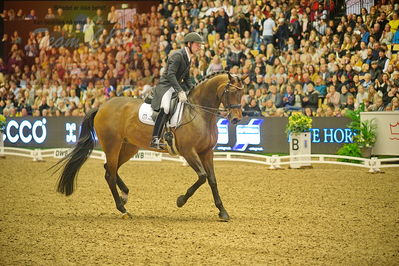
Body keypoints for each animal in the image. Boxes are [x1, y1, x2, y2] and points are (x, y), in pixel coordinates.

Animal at [55, 70, 245, 220]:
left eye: (242, 94)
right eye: (231, 92)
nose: (236, 119)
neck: (198, 112)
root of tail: (101, 107)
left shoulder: (206, 152)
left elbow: (212, 180)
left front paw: (222, 211)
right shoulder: (189, 152)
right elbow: (202, 177)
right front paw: (181, 200)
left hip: (128, 147)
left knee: (109, 168)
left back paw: (124, 194)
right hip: (112, 145)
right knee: (109, 174)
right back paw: (123, 209)